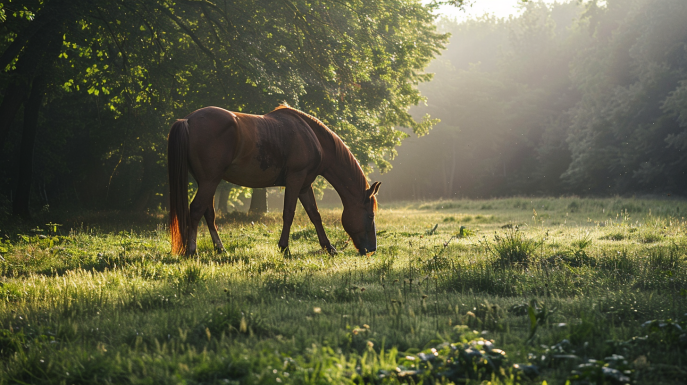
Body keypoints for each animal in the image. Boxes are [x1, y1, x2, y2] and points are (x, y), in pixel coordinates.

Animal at [167, 104, 382, 255]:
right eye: (370, 216)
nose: (371, 249)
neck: (313, 138)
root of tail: (188, 120)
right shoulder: (295, 180)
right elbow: (289, 213)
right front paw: (284, 247)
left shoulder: (305, 185)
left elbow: (314, 215)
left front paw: (329, 248)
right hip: (209, 180)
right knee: (196, 210)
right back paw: (192, 250)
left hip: (208, 181)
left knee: (208, 213)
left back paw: (220, 249)